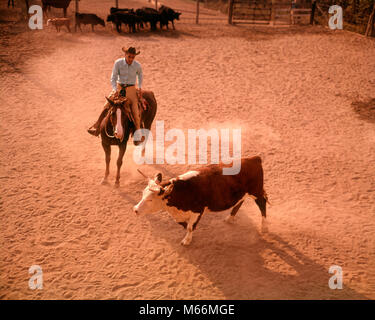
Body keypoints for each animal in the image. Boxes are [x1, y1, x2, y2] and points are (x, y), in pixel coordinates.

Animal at [134, 156, 268, 246]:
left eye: (150, 199)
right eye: (143, 194)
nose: (135, 209)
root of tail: (254, 159)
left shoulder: (197, 211)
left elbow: (190, 227)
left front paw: (187, 240)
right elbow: (185, 225)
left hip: (256, 192)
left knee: (262, 204)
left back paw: (264, 228)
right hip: (244, 193)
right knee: (239, 202)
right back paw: (229, 218)